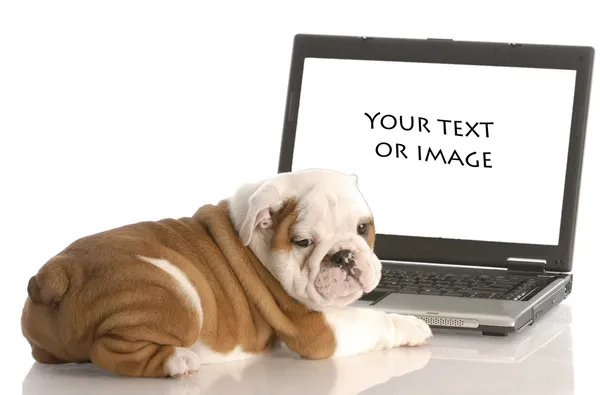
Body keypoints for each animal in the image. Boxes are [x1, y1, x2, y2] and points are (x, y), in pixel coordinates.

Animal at [19, 169, 432, 378]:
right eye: (302, 242)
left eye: (363, 228)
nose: (344, 256)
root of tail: (57, 273)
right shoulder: (316, 328)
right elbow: (374, 320)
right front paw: (412, 325)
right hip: (178, 292)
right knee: (107, 351)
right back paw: (177, 362)